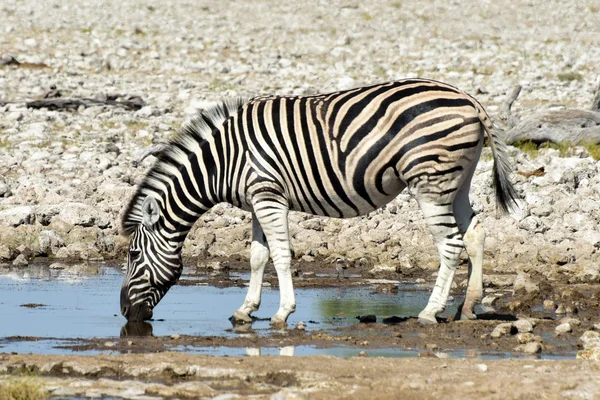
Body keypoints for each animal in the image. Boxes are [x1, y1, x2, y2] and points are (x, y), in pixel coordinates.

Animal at [119, 79, 516, 326]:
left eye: (133, 255)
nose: (124, 312)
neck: (223, 161)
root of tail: (468, 98)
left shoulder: (268, 196)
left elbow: (280, 255)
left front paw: (282, 313)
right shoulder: (257, 200)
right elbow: (257, 256)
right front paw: (245, 310)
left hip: (429, 182)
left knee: (450, 244)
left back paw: (429, 312)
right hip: (457, 180)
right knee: (475, 234)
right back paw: (468, 307)